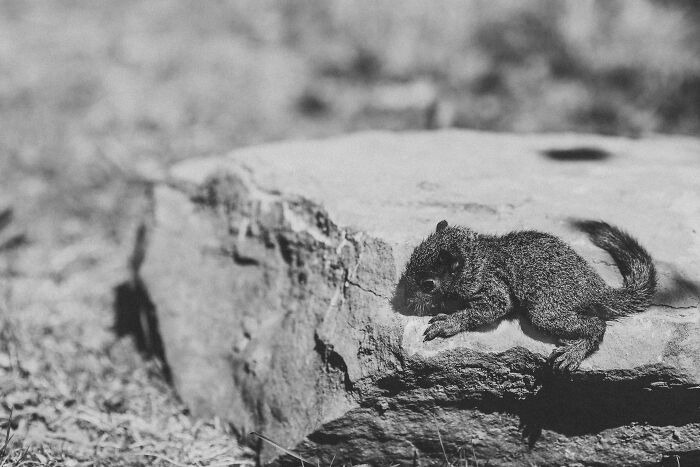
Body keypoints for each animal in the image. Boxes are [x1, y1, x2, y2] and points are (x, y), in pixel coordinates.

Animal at [400, 219, 657, 372]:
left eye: (428, 284)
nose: (406, 301)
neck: (475, 258)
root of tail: (595, 289)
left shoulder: (492, 285)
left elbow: (493, 307)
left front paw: (449, 322)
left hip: (547, 308)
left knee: (597, 324)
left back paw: (575, 351)